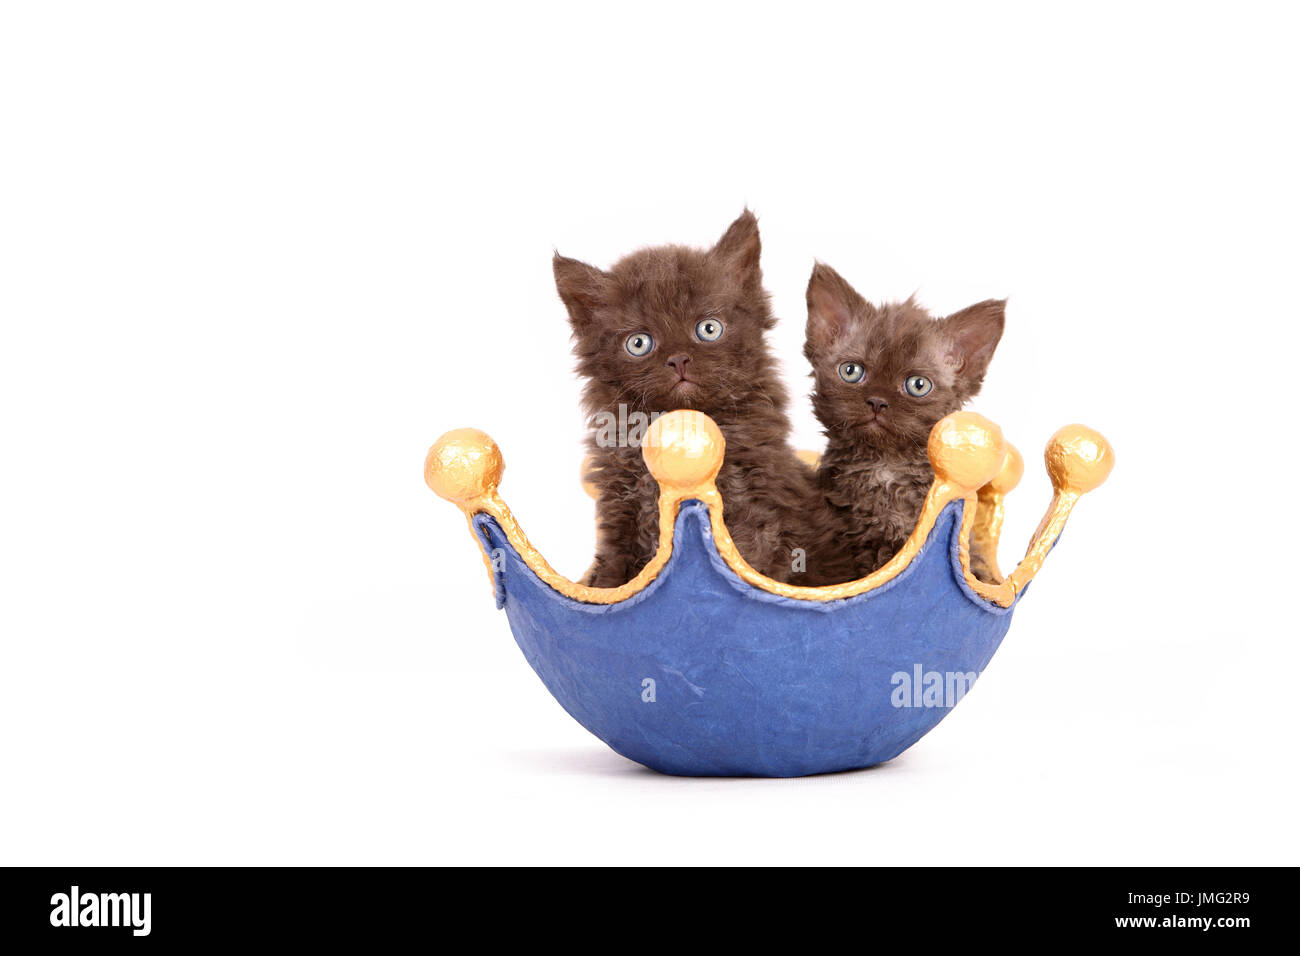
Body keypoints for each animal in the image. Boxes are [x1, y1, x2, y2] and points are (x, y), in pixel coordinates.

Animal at [551, 212, 847, 587]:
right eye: (639, 343)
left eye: (708, 329)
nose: (678, 359)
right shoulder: (620, 517)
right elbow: (610, 583)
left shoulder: (756, 518)